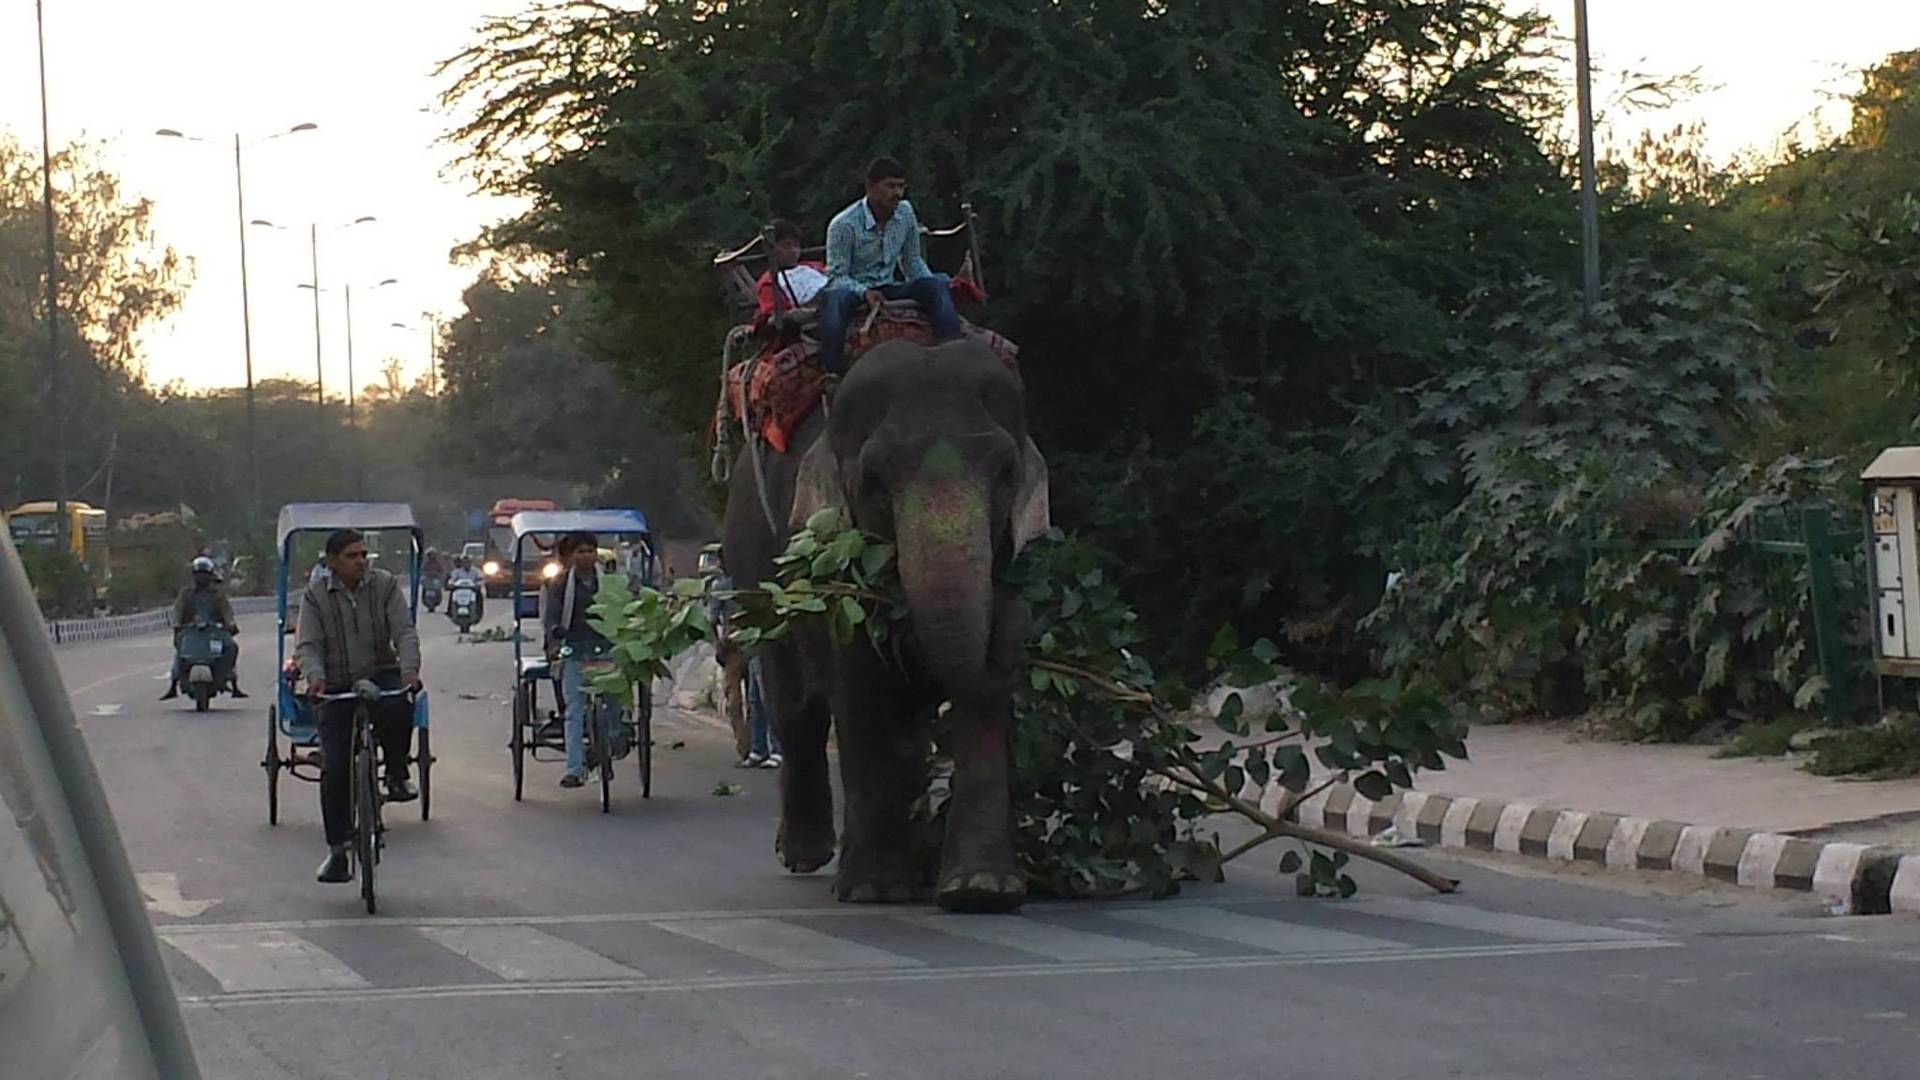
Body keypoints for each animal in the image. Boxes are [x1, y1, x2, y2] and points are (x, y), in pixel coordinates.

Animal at [721, 334, 1052, 907]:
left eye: (1006, 475)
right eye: (874, 480)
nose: (1013, 620)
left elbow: (979, 695)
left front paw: (980, 890)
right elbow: (860, 686)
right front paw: (875, 889)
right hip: (756, 572)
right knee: (795, 706)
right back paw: (807, 855)